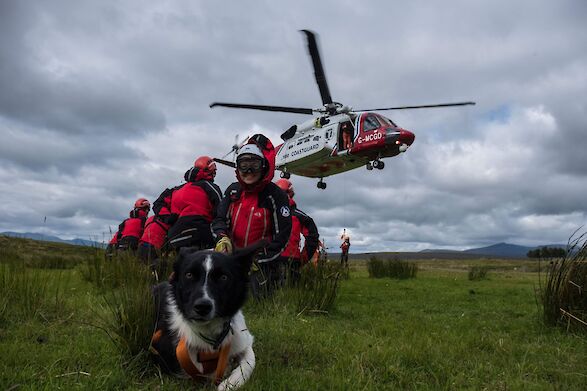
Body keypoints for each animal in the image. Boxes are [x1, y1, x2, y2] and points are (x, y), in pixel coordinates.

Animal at [152, 243, 262, 390]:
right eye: (189, 275)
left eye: (223, 277)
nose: (202, 307)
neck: (209, 331)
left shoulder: (243, 339)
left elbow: (250, 359)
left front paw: (229, 383)